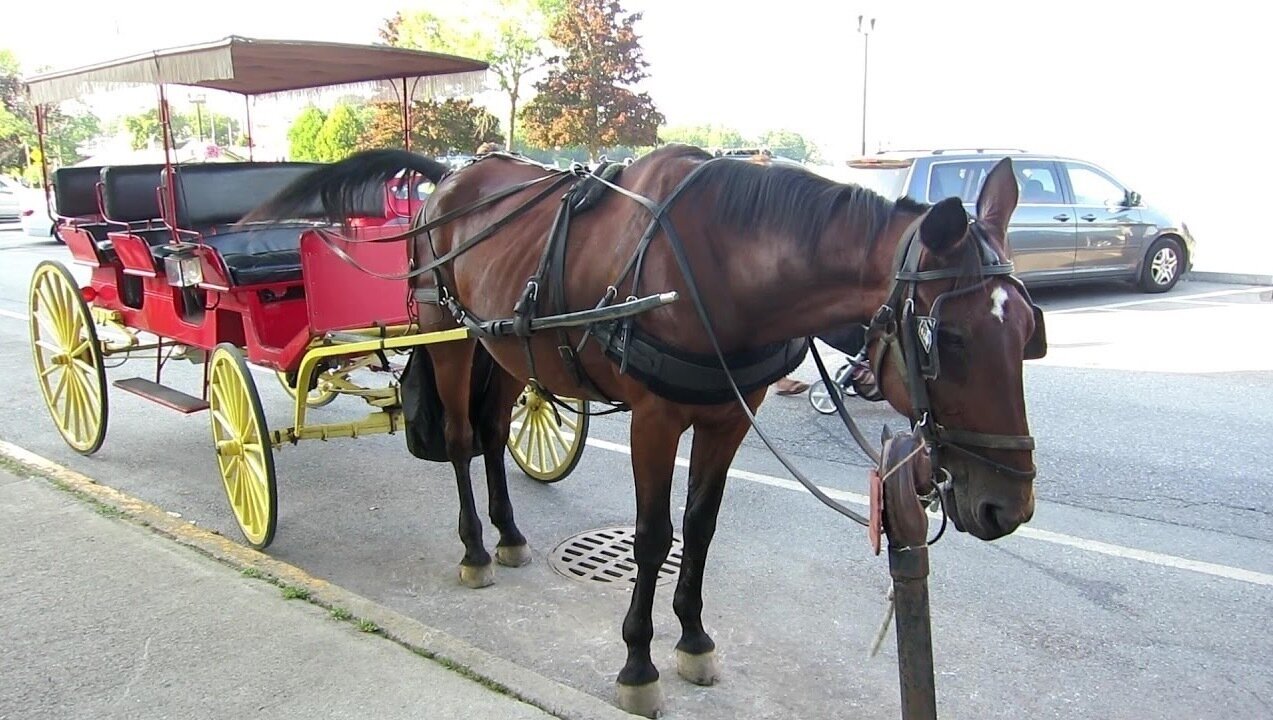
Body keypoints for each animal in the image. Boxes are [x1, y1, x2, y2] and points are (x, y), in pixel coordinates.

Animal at [244, 144, 1042, 717]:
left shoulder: (728, 417)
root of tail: (452, 176)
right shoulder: (655, 420)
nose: (1006, 506)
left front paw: (692, 636)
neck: (722, 265)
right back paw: (473, 547)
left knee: (495, 434)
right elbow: (654, 536)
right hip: (448, 335)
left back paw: (508, 534)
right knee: (465, 445)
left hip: (503, 347)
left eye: (1029, 332)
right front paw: (638, 662)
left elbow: (701, 527)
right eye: (947, 340)